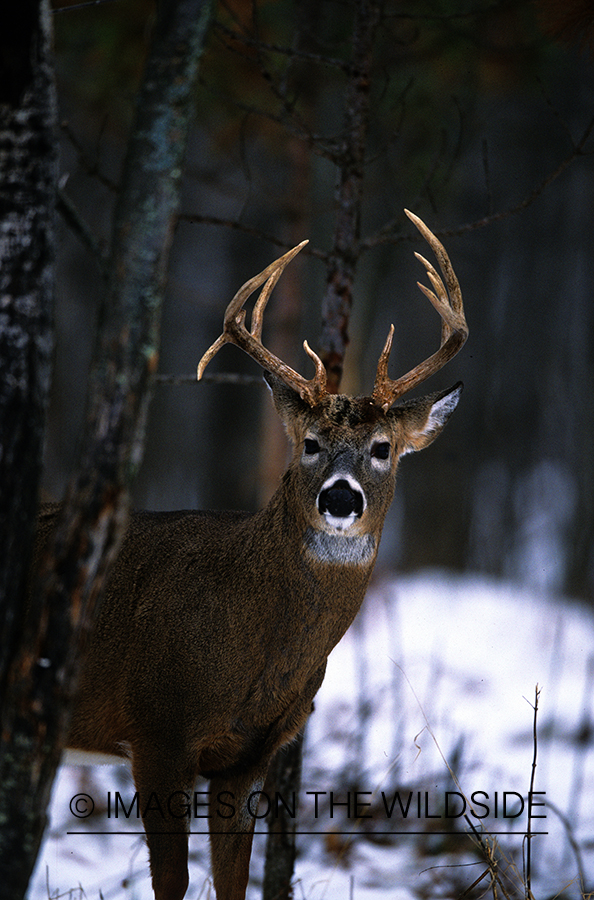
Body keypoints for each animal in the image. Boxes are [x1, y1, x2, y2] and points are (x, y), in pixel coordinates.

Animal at [37, 209, 464, 900]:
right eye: (309, 443)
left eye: (382, 449)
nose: (339, 497)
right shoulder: (158, 731)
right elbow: (174, 881)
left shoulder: (250, 757)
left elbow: (233, 881)